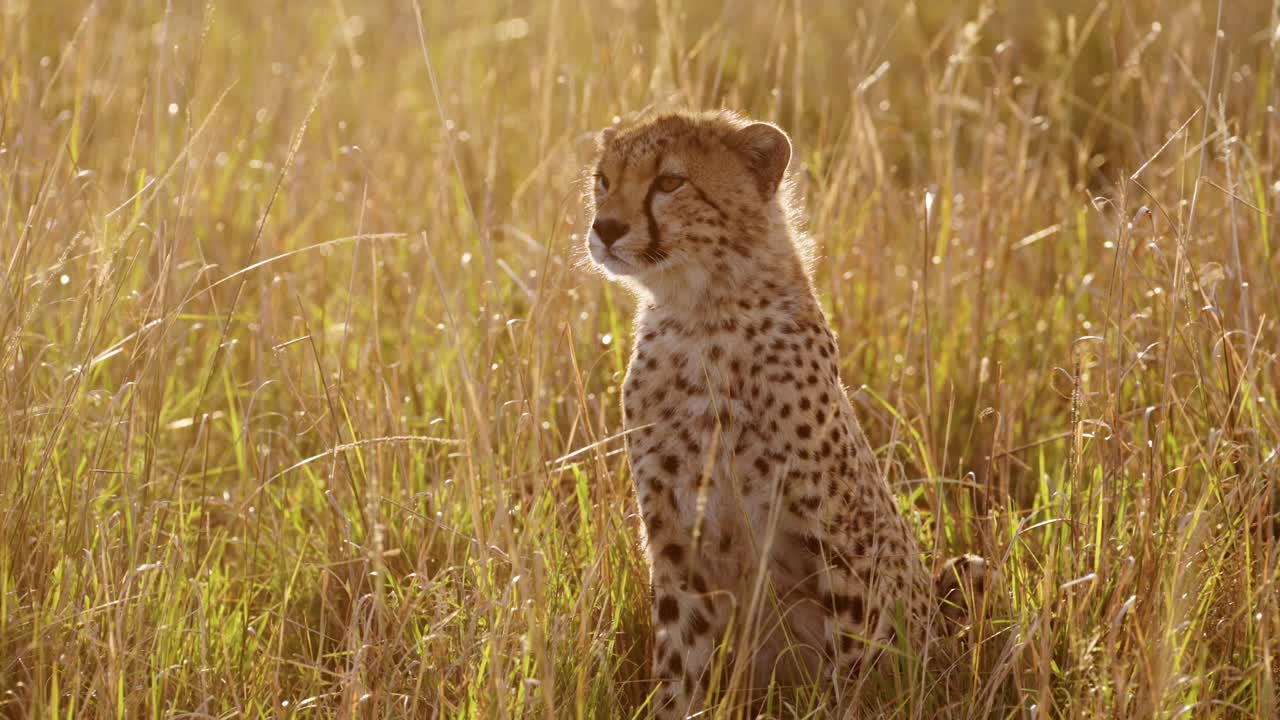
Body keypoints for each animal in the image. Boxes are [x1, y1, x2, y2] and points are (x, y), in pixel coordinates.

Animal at [583, 109, 986, 718]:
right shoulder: (677, 544)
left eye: (670, 182)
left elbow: (852, 667)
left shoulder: (843, 543)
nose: (605, 227)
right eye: (604, 181)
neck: (704, 317)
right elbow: (680, 665)